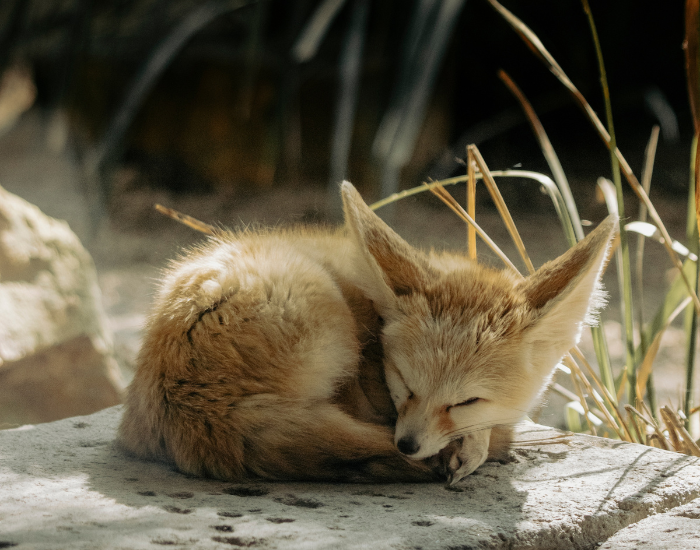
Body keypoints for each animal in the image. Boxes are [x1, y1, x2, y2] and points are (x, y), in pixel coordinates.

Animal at [118, 181, 617, 484]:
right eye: (405, 385)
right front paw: (473, 448)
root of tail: (194, 402)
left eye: (466, 400)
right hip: (328, 314)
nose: (407, 445)